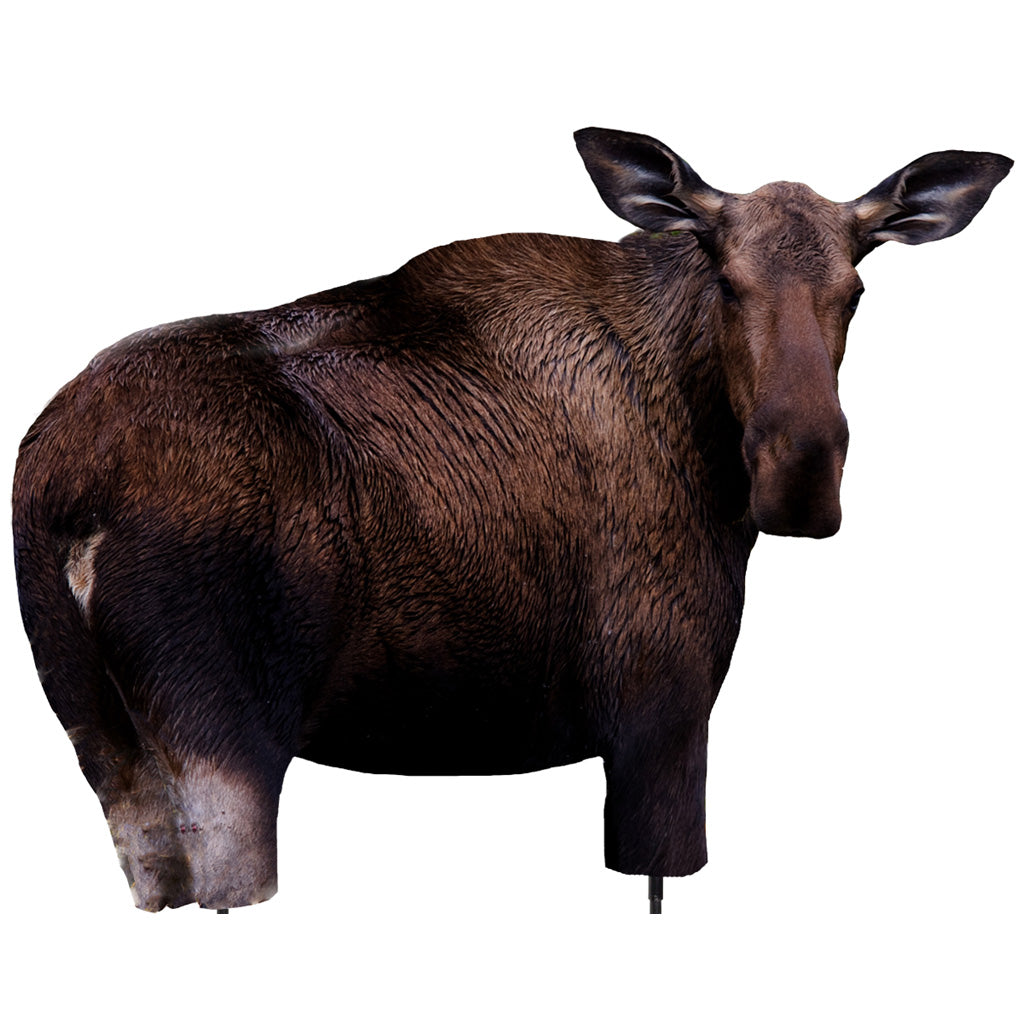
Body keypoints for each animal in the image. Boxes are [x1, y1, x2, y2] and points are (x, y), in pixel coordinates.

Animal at [12, 129, 1011, 913]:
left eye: (856, 289)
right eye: (725, 280)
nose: (799, 477)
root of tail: (67, 490)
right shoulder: (662, 710)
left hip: (106, 741)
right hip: (227, 740)